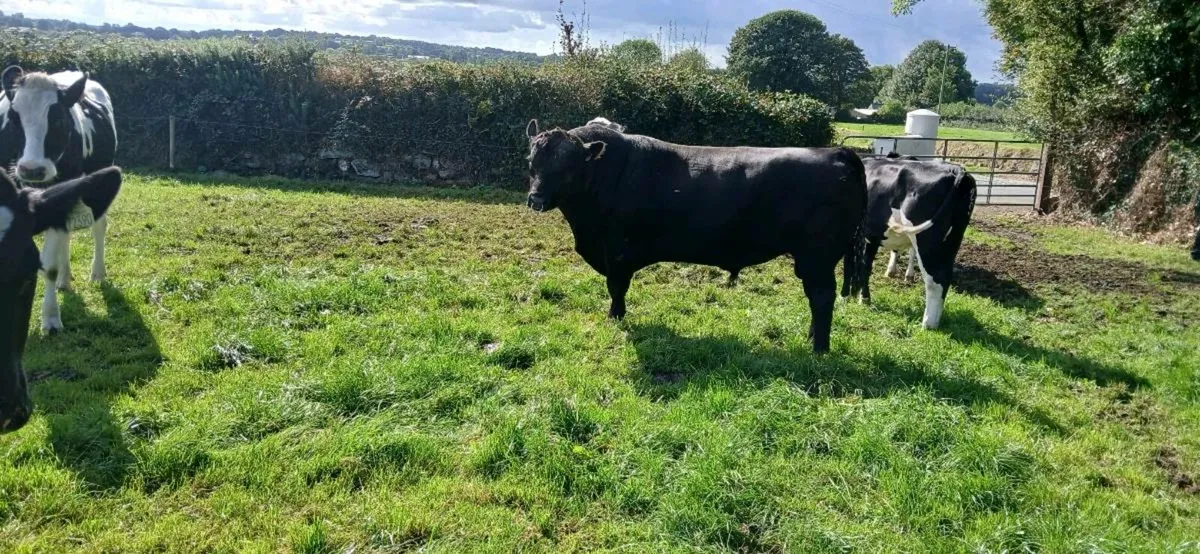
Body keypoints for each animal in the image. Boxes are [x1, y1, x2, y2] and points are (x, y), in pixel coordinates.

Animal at [1, 66, 119, 333]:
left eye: (57, 119)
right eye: (13, 117)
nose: (32, 169)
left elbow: (49, 267)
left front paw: (51, 318)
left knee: (98, 227)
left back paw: (97, 273)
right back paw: (65, 280)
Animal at [523, 120, 867, 353]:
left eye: (568, 167)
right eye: (531, 162)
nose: (536, 198)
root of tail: (839, 152)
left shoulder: (617, 250)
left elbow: (616, 288)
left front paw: (615, 318)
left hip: (817, 256)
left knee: (821, 297)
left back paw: (818, 348)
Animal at [842, 154, 976, 329]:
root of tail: (956, 170)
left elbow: (850, 265)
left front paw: (845, 297)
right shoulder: (871, 237)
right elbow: (865, 266)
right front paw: (863, 299)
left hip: (927, 241)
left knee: (935, 279)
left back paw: (927, 324)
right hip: (952, 240)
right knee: (945, 277)